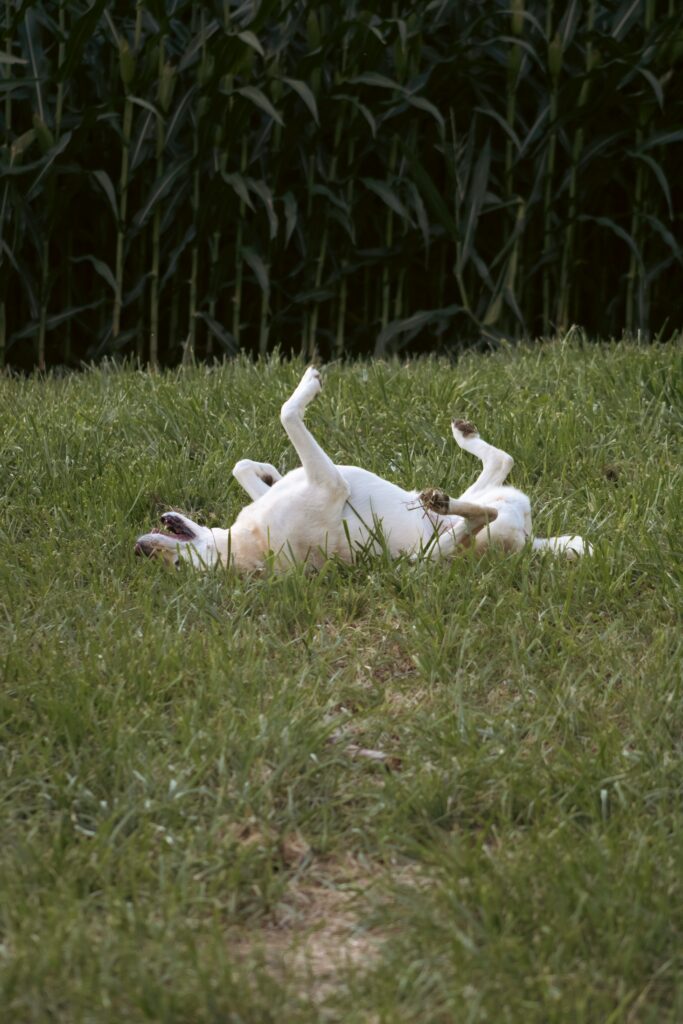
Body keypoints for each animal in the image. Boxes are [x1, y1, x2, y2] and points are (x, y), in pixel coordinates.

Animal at [136, 368, 589, 573]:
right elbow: (287, 412)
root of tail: (529, 542)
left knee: (500, 464)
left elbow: (243, 466)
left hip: (476, 495)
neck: (245, 545)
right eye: (178, 568)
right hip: (437, 550)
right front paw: (308, 387)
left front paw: (269, 471)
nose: (141, 548)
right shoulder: (329, 481)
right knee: (481, 512)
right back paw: (440, 500)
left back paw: (462, 437)